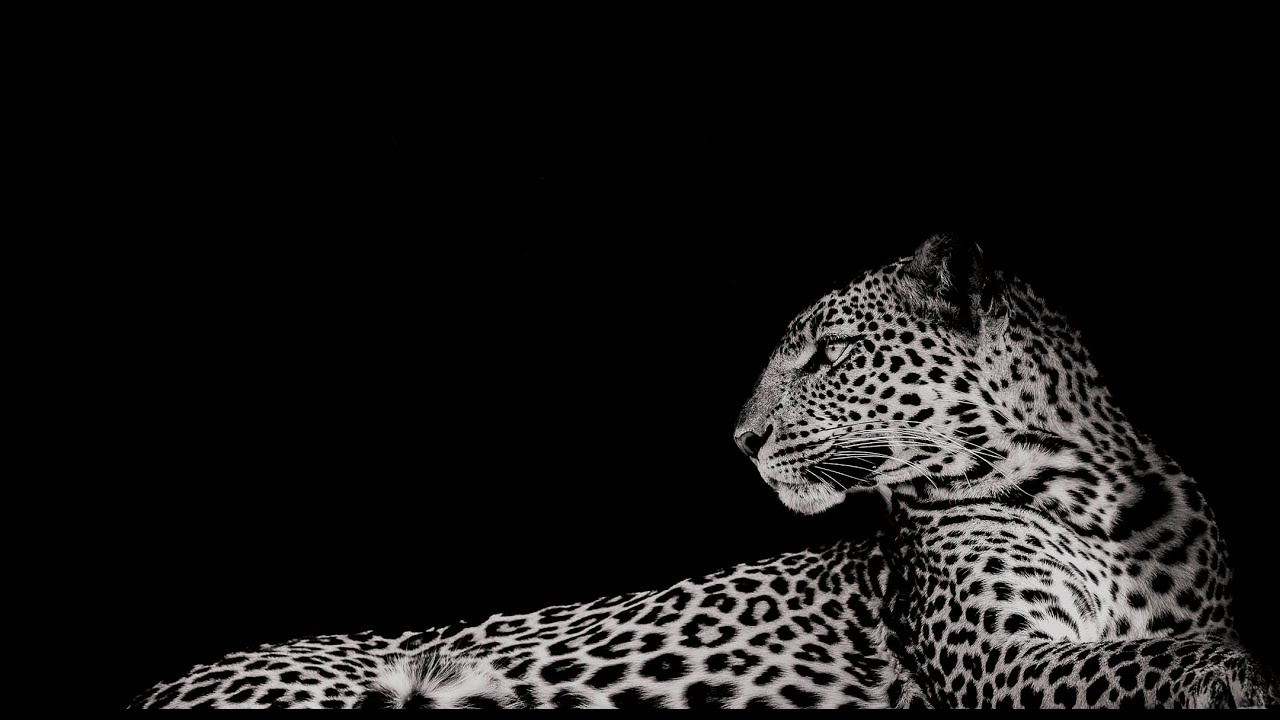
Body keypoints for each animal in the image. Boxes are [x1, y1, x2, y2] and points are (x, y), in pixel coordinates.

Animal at [127, 235, 1278, 709]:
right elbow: (1133, 659)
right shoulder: (998, 659)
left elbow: (1155, 644)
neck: (1103, 496)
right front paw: (1233, 673)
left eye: (827, 353)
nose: (740, 439)